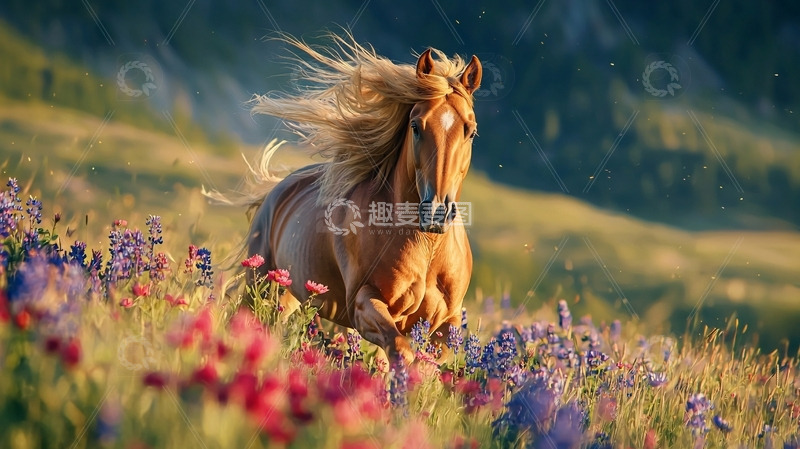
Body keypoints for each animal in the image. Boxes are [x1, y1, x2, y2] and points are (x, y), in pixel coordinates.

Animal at [211, 33, 481, 364]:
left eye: (470, 131)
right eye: (416, 126)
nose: (437, 212)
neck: (427, 247)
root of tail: (278, 190)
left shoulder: (446, 324)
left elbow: (421, 362)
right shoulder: (364, 303)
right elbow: (401, 351)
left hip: (289, 293)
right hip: (259, 284)